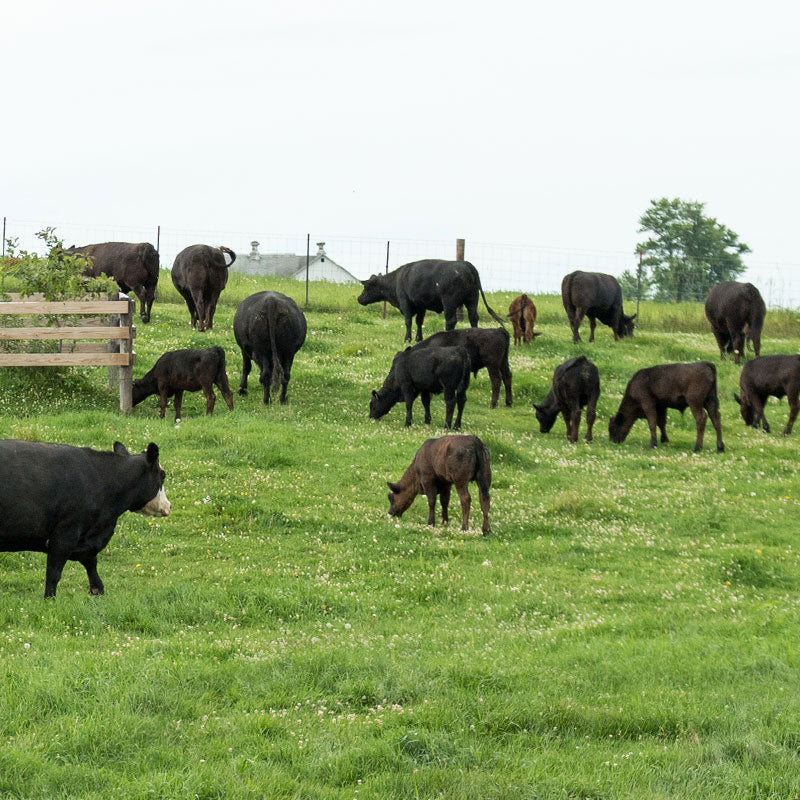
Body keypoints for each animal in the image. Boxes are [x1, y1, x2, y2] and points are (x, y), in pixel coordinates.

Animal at [0, 440, 170, 596]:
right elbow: (54, 573)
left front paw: (97, 590)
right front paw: (50, 599)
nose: (169, 506)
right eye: (162, 476)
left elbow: (91, 563)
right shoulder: (66, 532)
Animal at [358, 260, 504, 340]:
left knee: (451, 320)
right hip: (472, 299)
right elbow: (419, 322)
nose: (359, 299)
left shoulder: (405, 302)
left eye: (366, 286)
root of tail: (465, 264)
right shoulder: (420, 306)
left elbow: (408, 321)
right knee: (473, 318)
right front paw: (418, 338)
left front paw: (407, 339)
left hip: (449, 302)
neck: (396, 280)